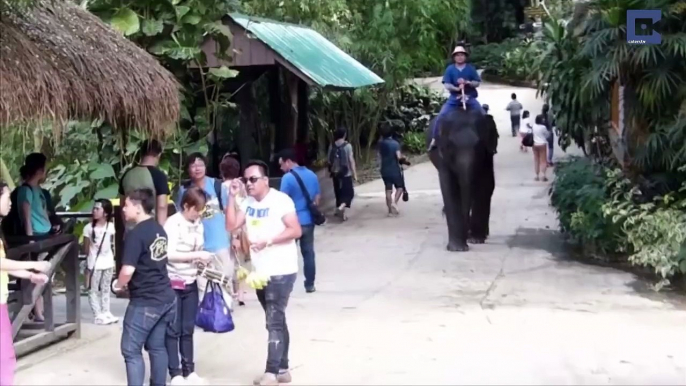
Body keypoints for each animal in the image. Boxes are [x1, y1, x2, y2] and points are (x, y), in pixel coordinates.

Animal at [428, 108, 498, 250]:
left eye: (479, 146)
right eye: (450, 147)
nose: (467, 234)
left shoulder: (488, 154)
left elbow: (486, 184)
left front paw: (475, 240)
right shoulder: (441, 155)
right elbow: (448, 187)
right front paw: (457, 249)